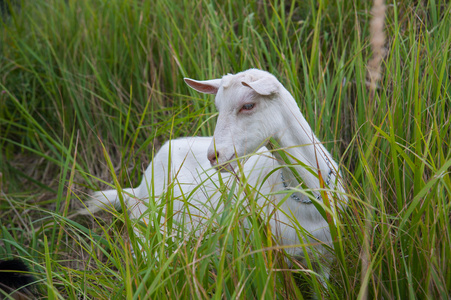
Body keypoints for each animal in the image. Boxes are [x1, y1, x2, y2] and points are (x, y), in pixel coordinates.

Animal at [83, 68, 348, 278]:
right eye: (218, 107)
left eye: (248, 105)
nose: (213, 155)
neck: (306, 194)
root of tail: (138, 188)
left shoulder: (325, 258)